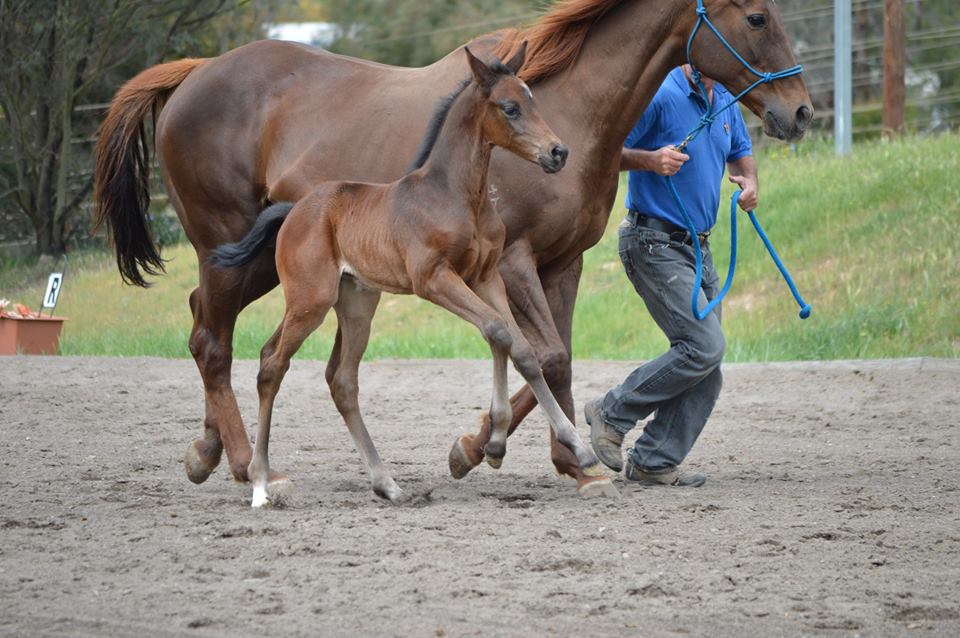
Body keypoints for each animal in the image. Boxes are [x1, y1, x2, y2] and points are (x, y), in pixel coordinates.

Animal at [214, 48, 616, 510]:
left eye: (533, 100)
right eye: (510, 107)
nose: (558, 152)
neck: (458, 196)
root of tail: (293, 210)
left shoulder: (485, 278)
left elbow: (516, 345)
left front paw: (506, 444)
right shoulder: (434, 279)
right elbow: (500, 332)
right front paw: (564, 448)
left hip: (356, 303)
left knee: (341, 379)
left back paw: (386, 483)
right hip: (311, 299)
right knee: (271, 364)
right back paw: (261, 481)